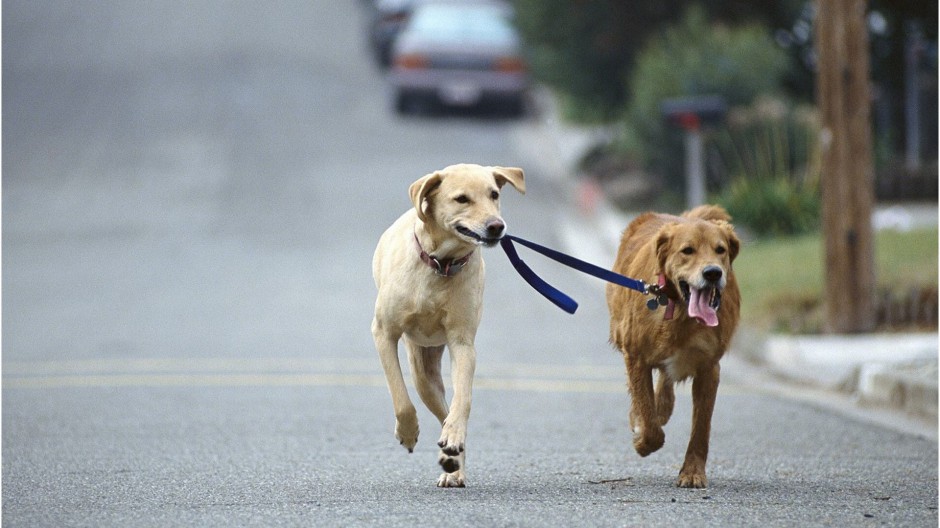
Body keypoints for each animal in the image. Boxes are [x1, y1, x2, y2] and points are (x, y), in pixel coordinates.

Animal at [370, 163, 524, 488]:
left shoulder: (462, 343)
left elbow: (462, 399)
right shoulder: (383, 333)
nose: (496, 226)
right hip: (422, 372)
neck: (441, 265)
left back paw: (453, 460)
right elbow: (400, 397)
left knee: (448, 412)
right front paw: (407, 433)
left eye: (494, 194)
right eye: (462, 199)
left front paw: (453, 440)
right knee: (433, 403)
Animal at [608, 204, 740, 488]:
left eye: (720, 249)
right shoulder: (635, 356)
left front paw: (692, 472)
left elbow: (701, 428)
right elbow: (648, 417)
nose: (713, 273)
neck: (680, 311)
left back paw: (664, 406)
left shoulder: (709, 368)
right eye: (687, 250)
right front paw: (643, 440)